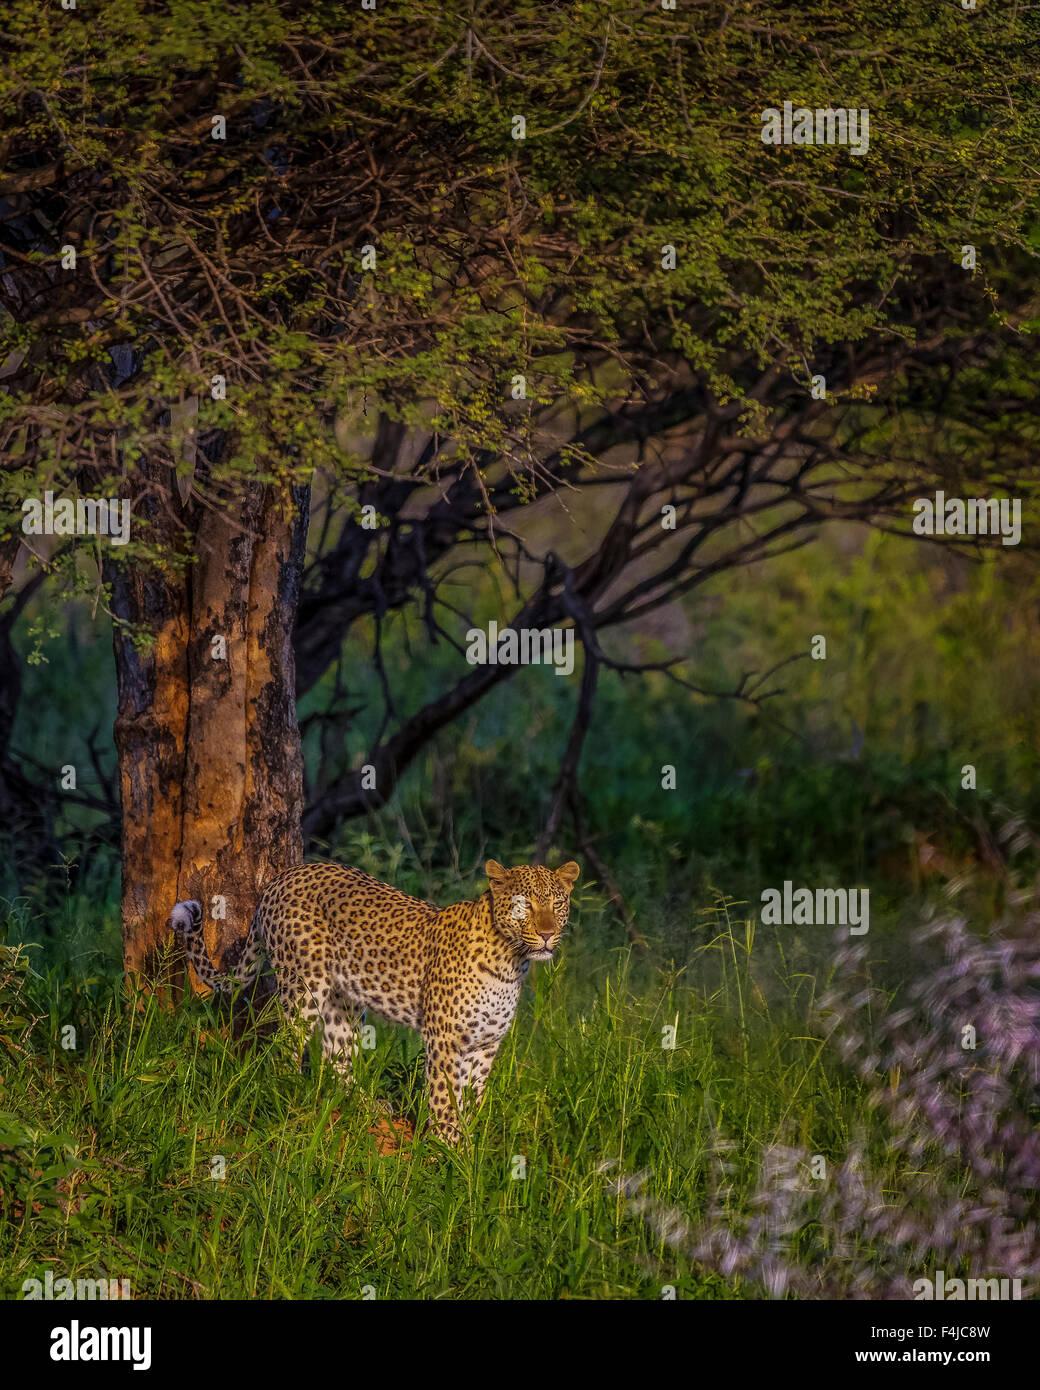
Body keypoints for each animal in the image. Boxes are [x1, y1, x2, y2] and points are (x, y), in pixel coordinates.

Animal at [166, 856, 581, 1139]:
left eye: (557, 905)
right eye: (523, 905)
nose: (547, 934)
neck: (512, 962)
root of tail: (280, 878)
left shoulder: (486, 1044)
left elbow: (471, 1098)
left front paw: (468, 1142)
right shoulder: (445, 1039)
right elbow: (444, 1096)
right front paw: (447, 1149)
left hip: (345, 1001)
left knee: (337, 1059)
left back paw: (364, 1106)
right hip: (303, 985)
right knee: (286, 1045)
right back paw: (290, 1096)